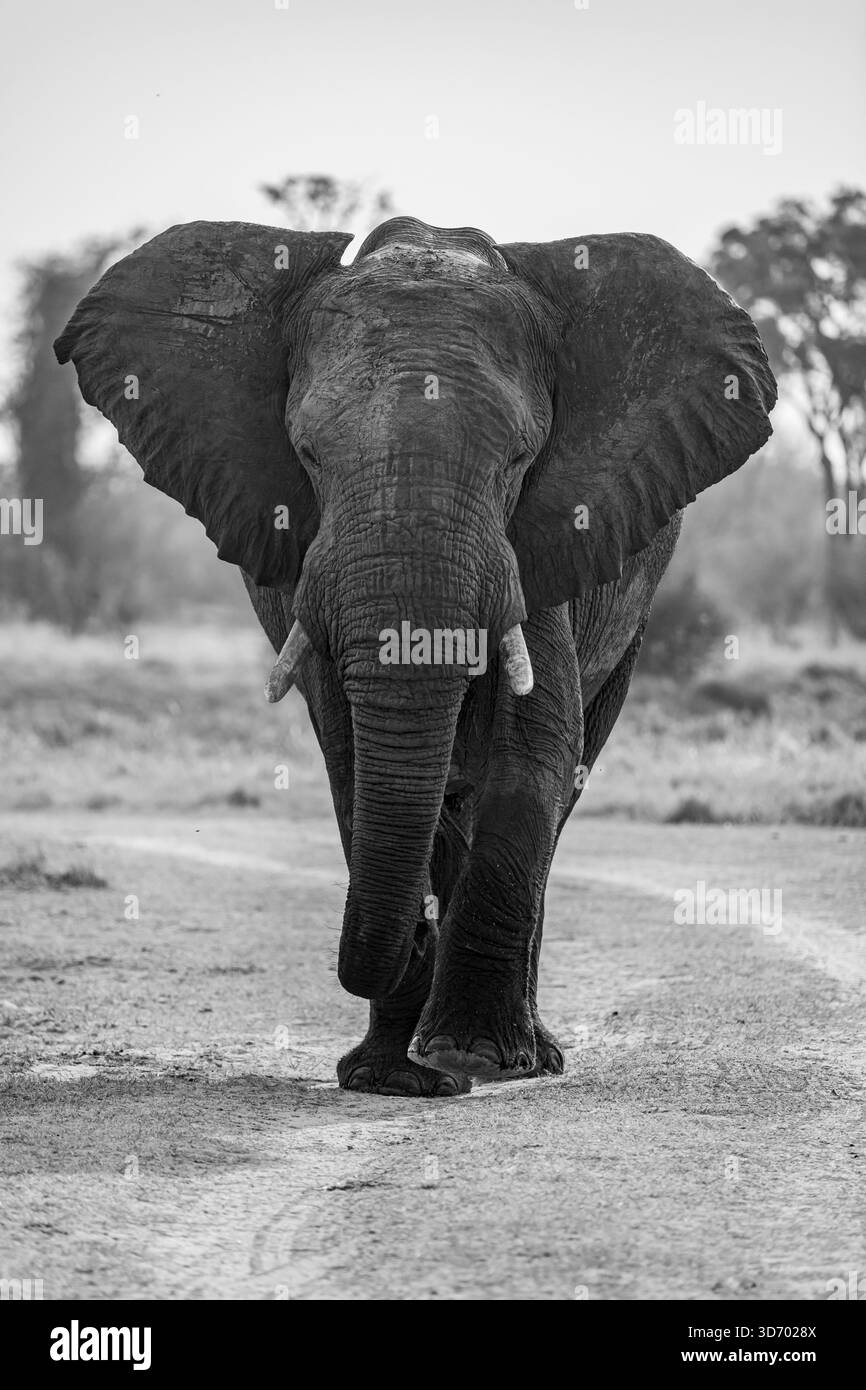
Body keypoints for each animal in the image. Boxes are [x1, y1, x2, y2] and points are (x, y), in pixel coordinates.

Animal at [55, 215, 776, 1096]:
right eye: (308, 454)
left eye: (518, 459)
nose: (417, 936)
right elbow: (351, 760)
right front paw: (393, 1077)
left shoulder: (543, 540)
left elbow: (536, 748)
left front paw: (468, 1057)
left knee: (568, 776)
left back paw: (529, 1055)